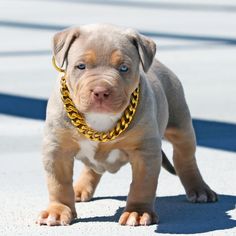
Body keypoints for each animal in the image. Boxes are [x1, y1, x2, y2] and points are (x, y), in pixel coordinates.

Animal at [37, 24, 218, 227]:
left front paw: (137, 212)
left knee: (185, 158)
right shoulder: (57, 149)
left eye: (124, 68)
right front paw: (58, 210)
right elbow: (58, 183)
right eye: (80, 66)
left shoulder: (145, 152)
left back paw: (199, 189)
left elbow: (142, 184)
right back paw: (80, 188)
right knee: (92, 167)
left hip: (181, 125)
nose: (100, 91)